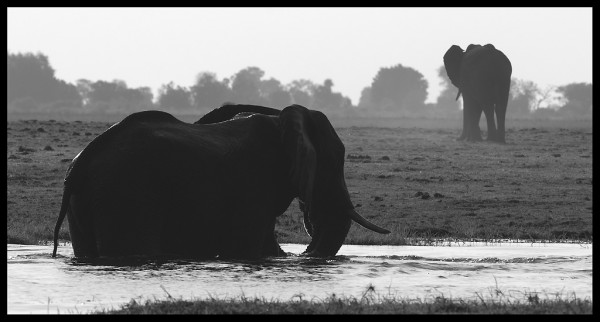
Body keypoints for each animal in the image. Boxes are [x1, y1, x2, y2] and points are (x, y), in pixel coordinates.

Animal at [51, 104, 390, 260]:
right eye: (334, 161)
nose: (304, 254)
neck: (283, 121)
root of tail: (82, 162)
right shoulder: (253, 179)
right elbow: (248, 246)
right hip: (129, 191)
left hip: (92, 197)